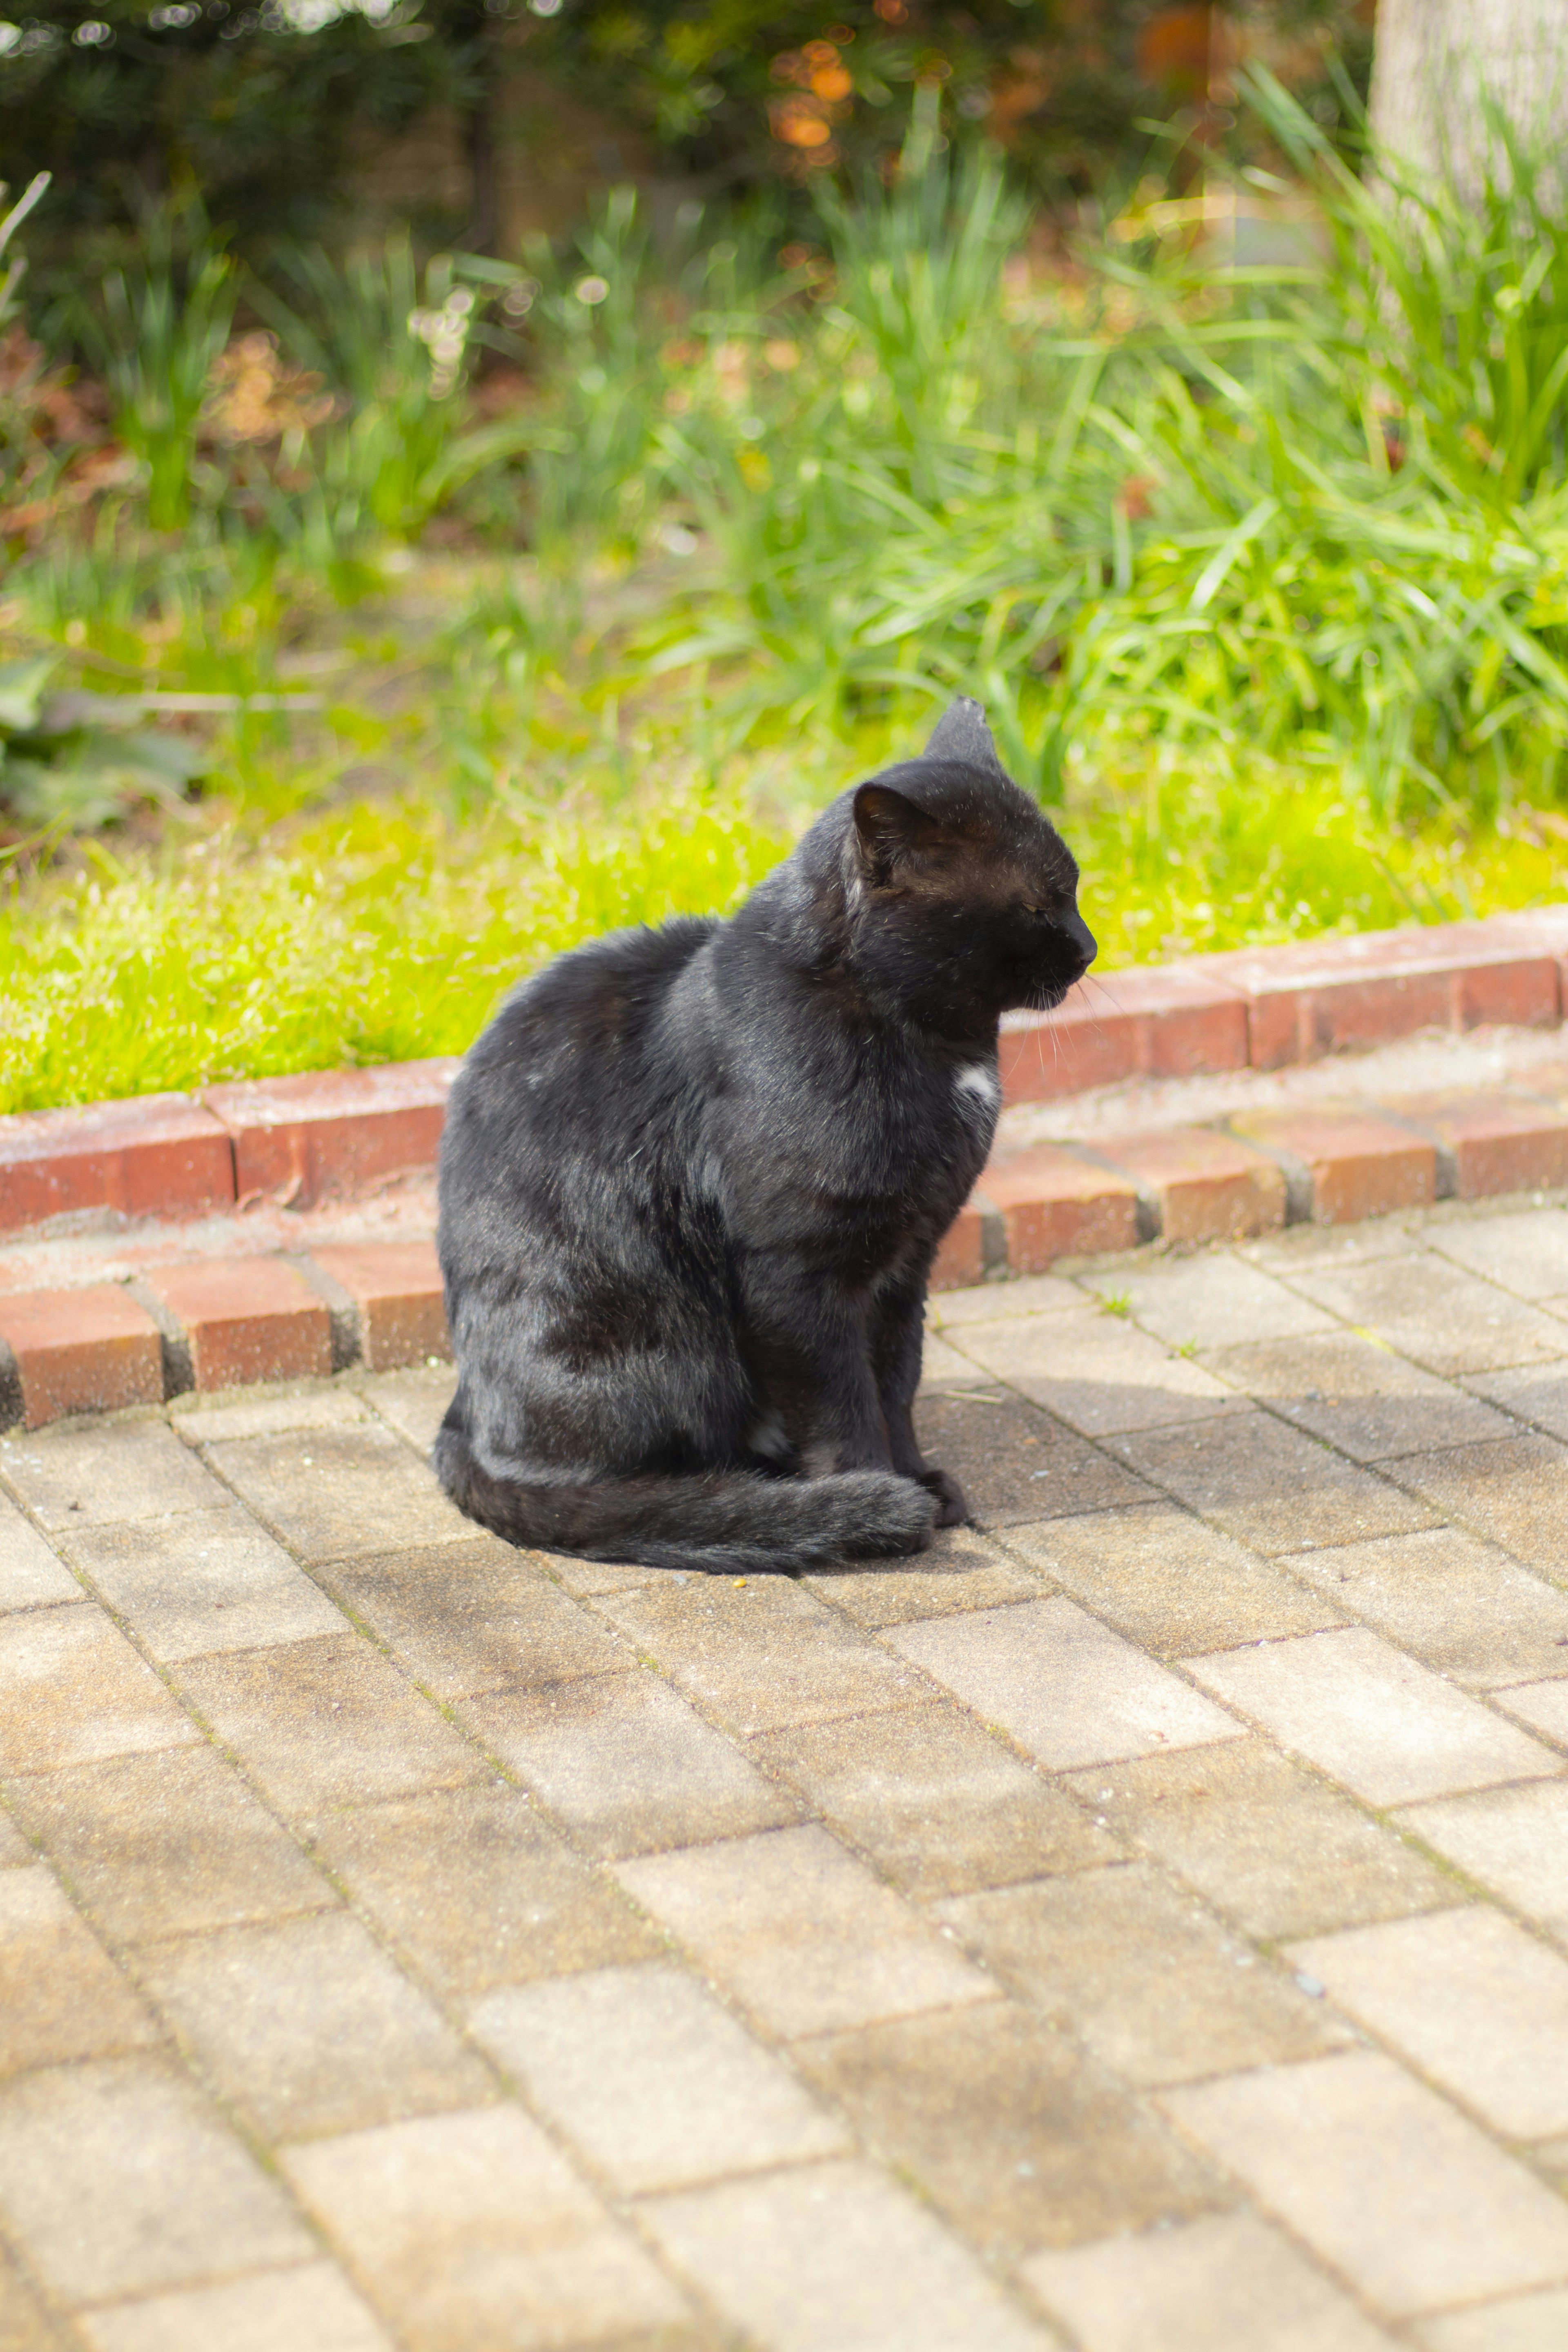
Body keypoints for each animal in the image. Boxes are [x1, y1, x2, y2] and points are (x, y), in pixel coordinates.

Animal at [430, 696, 1091, 1580]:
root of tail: (465, 1414)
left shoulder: (906, 1264)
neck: (938, 1050)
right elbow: (841, 1407)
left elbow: (897, 1383)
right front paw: (874, 1495)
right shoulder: (796, 1272)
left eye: (1076, 888)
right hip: (656, 1338)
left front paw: (916, 1477)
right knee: (626, 1483)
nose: (1090, 947)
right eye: (1036, 905)